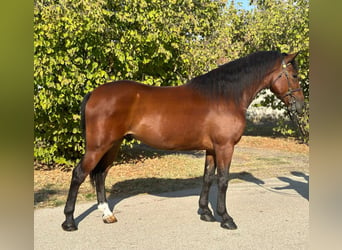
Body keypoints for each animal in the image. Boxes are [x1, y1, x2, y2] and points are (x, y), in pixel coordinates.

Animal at [62, 50, 304, 230]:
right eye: (294, 76)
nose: (300, 107)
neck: (225, 96)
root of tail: (94, 93)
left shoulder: (212, 149)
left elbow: (208, 178)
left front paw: (206, 213)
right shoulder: (225, 147)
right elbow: (223, 180)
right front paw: (226, 218)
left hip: (113, 145)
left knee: (101, 175)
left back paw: (107, 214)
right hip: (98, 146)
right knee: (79, 174)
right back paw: (69, 221)